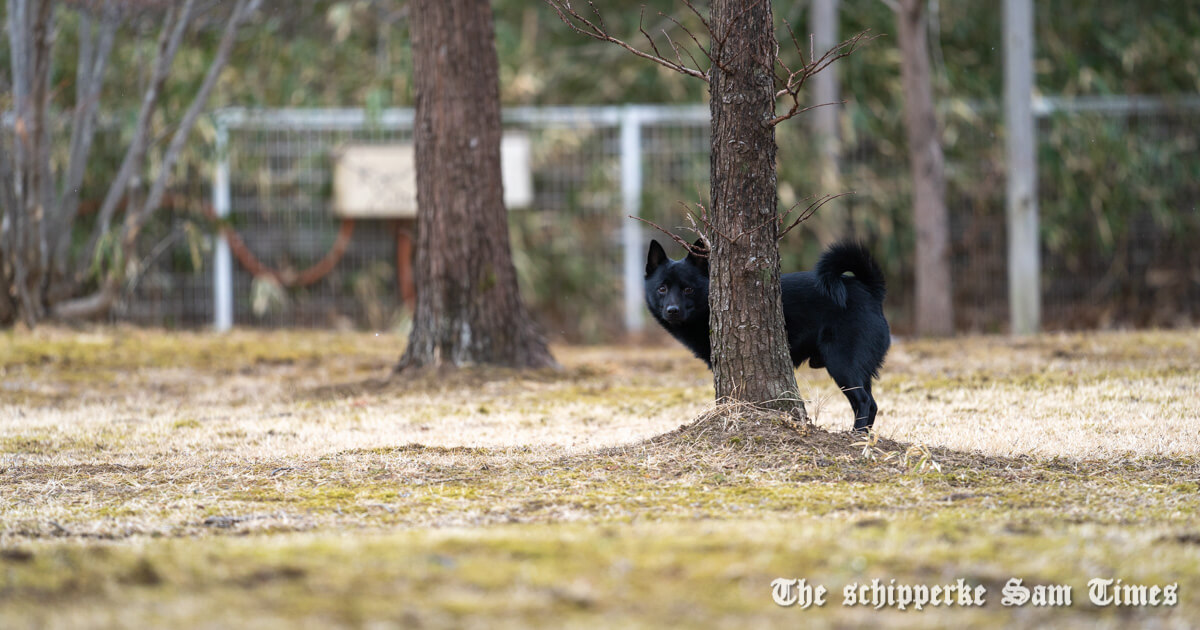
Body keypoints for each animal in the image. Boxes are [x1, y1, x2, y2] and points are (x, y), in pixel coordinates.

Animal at [648, 238, 892, 429]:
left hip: (842, 364)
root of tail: (871, 290)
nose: (672, 310)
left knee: (864, 402)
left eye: (688, 289)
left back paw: (855, 437)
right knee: (872, 404)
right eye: (662, 288)